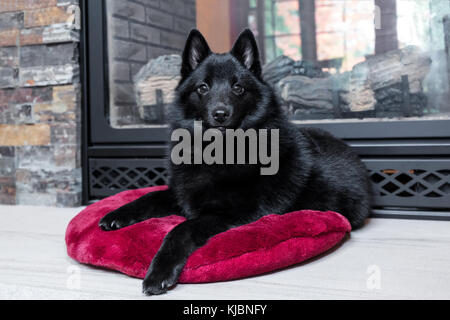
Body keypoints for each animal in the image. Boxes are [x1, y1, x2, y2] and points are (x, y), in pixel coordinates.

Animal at [98, 29, 370, 296]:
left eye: (238, 88)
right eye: (203, 87)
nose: (220, 114)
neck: (215, 151)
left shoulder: (231, 212)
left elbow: (181, 229)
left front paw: (158, 272)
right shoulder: (181, 193)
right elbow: (148, 197)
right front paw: (116, 215)